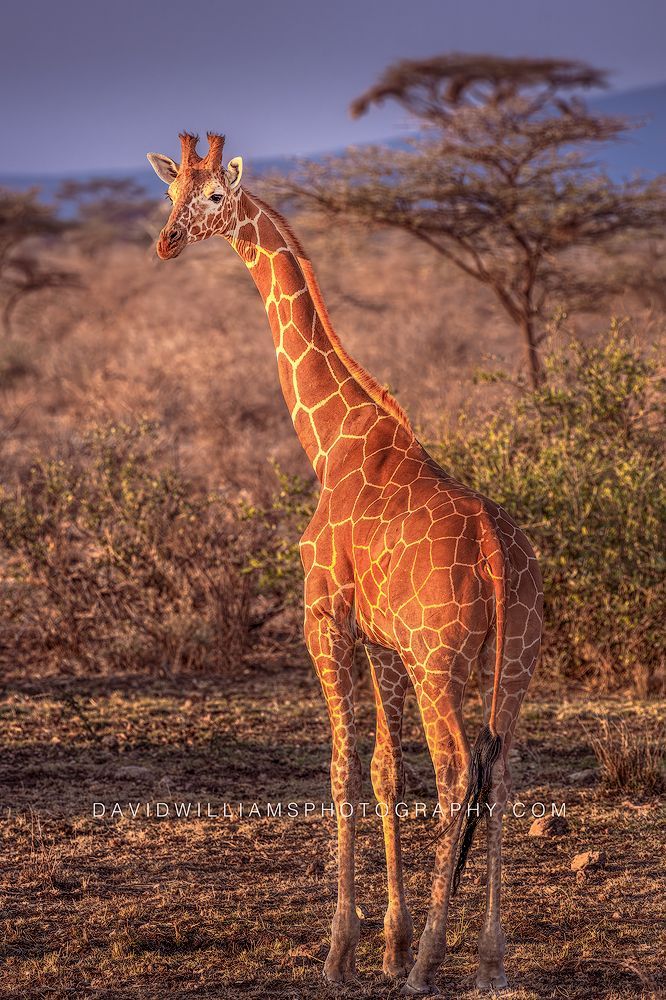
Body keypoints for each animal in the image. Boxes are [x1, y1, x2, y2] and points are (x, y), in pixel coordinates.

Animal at [147, 132, 543, 996]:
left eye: (216, 198)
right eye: (170, 193)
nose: (166, 243)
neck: (329, 438)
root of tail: (498, 555)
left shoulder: (324, 620)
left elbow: (340, 767)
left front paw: (343, 950)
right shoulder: (382, 641)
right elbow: (387, 770)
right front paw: (389, 938)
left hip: (440, 662)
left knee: (461, 772)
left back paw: (433, 961)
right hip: (516, 663)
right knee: (505, 771)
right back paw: (490, 954)